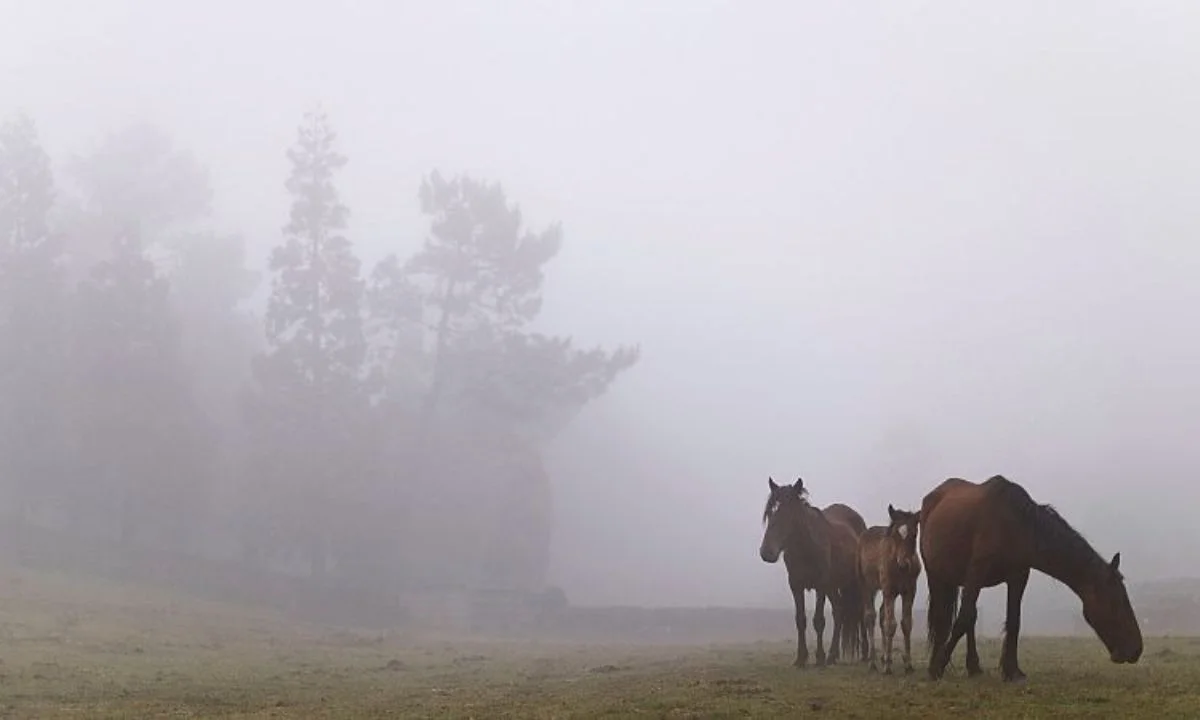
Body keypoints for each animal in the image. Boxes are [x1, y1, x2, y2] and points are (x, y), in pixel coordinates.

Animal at [759, 477, 865, 667]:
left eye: (788, 513)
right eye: (770, 512)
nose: (766, 552)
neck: (806, 547)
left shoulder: (821, 585)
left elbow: (818, 621)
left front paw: (820, 657)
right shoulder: (796, 585)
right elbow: (800, 620)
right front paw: (801, 658)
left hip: (854, 584)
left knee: (861, 613)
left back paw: (865, 654)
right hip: (833, 587)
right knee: (839, 611)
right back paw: (833, 655)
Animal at [856, 504, 921, 674]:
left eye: (914, 534)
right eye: (895, 535)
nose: (904, 564)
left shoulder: (909, 591)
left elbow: (906, 624)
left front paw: (908, 664)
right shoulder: (889, 590)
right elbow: (890, 624)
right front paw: (888, 666)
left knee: (880, 614)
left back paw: (883, 656)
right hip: (868, 586)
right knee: (870, 617)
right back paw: (873, 662)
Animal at [921, 474, 1143, 681]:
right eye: (1117, 601)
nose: (1136, 649)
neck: (1016, 525)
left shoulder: (1018, 577)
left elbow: (1013, 621)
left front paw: (1012, 671)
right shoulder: (977, 572)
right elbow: (963, 618)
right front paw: (937, 667)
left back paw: (973, 667)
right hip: (937, 576)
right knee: (944, 618)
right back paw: (936, 662)